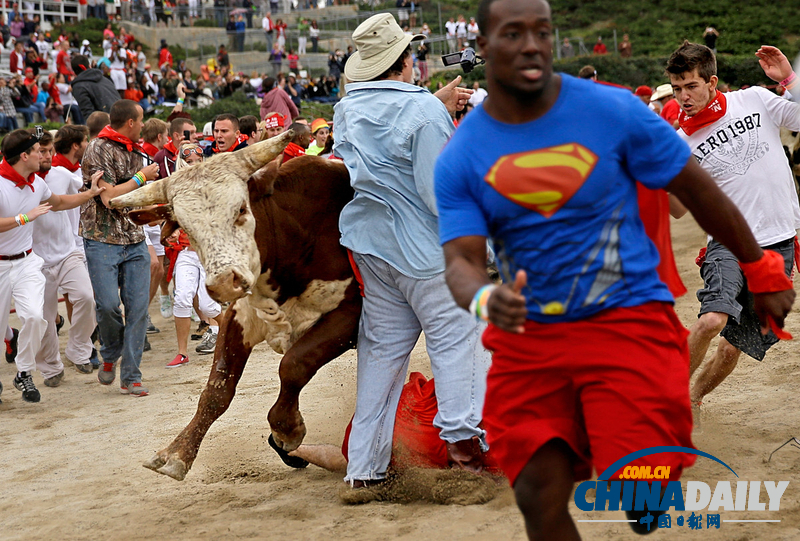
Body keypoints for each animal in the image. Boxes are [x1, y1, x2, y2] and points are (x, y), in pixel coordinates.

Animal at [111, 133, 360, 478]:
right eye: (186, 228)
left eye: (241, 208)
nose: (223, 283)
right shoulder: (239, 316)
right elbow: (217, 388)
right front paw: (177, 452)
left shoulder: (352, 314)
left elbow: (295, 363)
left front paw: (287, 430)